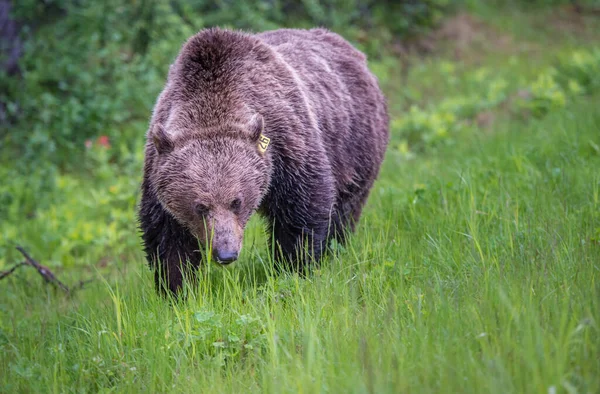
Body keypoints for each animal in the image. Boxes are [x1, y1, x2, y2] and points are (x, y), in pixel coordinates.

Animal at [138, 27, 390, 294]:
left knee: (344, 212)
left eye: (236, 202)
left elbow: (302, 213)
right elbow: (167, 238)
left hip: (355, 147)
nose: (225, 254)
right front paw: (178, 288)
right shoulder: (158, 167)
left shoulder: (288, 149)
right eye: (200, 206)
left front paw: (293, 269)